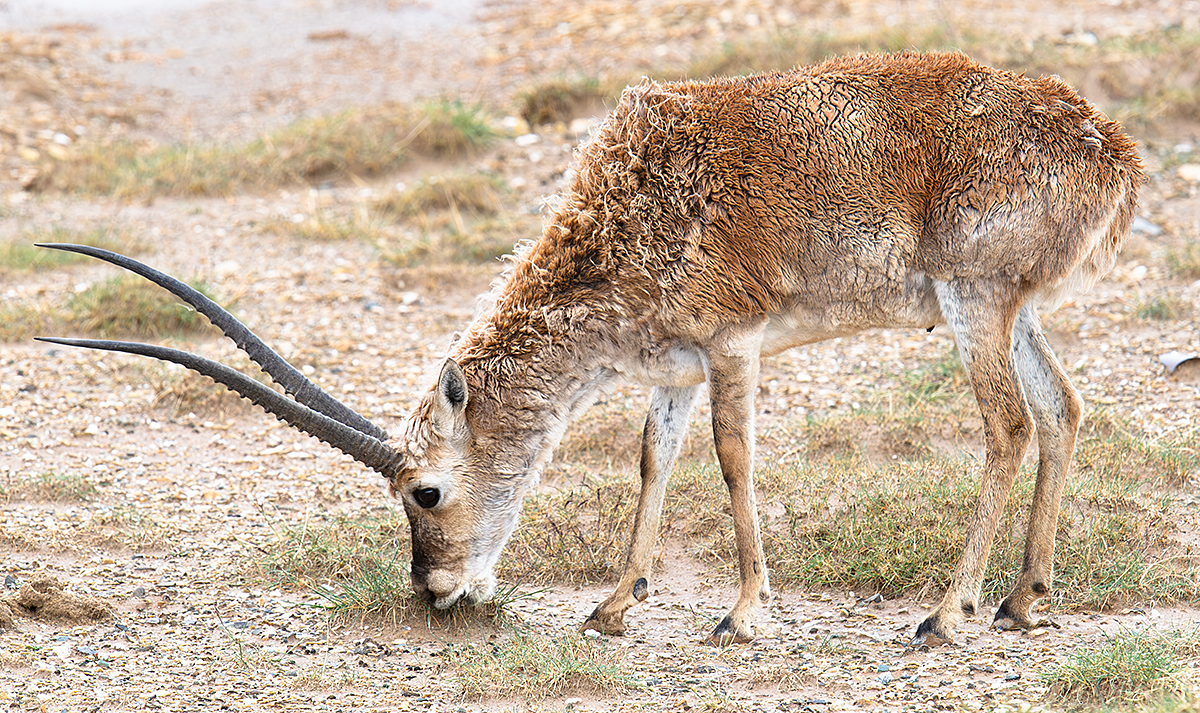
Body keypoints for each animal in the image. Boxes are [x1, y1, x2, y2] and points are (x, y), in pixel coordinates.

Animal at [39, 52, 1142, 643]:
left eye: (424, 490)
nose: (436, 590)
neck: (628, 208)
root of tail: (1109, 145)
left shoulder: (734, 345)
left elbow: (734, 460)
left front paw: (744, 611)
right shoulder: (673, 369)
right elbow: (654, 458)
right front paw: (615, 604)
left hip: (972, 301)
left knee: (1007, 423)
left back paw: (947, 612)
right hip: (1015, 309)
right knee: (1063, 408)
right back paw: (1024, 600)